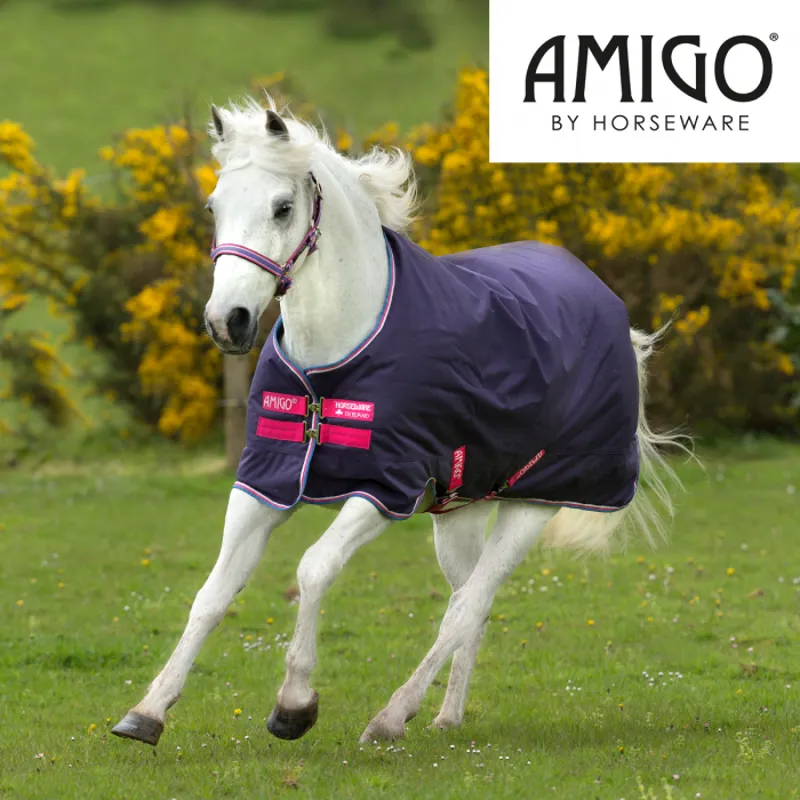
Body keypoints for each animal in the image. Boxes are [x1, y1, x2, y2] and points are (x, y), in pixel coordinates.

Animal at [111, 98, 687, 747]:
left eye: (282, 207)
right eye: (214, 207)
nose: (226, 322)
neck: (331, 368)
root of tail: (608, 305)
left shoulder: (383, 488)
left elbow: (313, 569)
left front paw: (294, 706)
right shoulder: (264, 481)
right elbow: (213, 593)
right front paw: (147, 712)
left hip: (534, 505)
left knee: (469, 605)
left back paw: (391, 717)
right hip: (460, 512)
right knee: (468, 604)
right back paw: (445, 716)